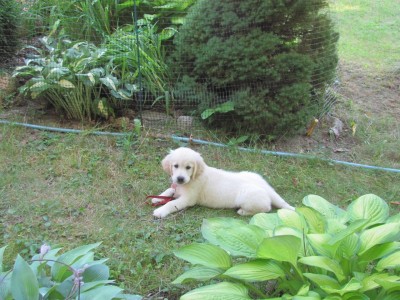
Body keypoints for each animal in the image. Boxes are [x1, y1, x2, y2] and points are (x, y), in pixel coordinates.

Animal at [152, 146, 296, 218]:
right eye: (175, 166)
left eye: (188, 167)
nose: (180, 179)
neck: (192, 179)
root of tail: (266, 188)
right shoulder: (177, 187)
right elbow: (170, 189)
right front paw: (157, 198)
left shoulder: (188, 199)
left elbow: (172, 203)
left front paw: (160, 211)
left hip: (246, 197)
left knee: (266, 209)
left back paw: (243, 212)